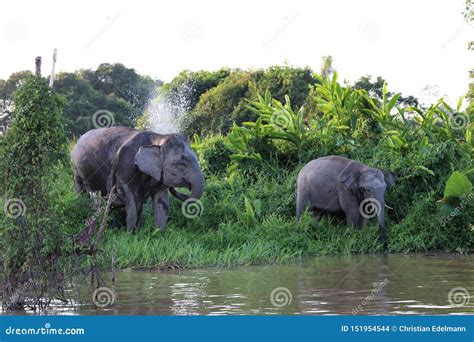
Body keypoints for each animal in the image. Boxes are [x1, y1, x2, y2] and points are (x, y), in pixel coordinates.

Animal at [71, 127, 205, 231]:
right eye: (182, 164)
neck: (159, 138)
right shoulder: (126, 166)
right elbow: (134, 201)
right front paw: (131, 234)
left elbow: (161, 201)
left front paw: (159, 234)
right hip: (77, 169)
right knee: (82, 192)